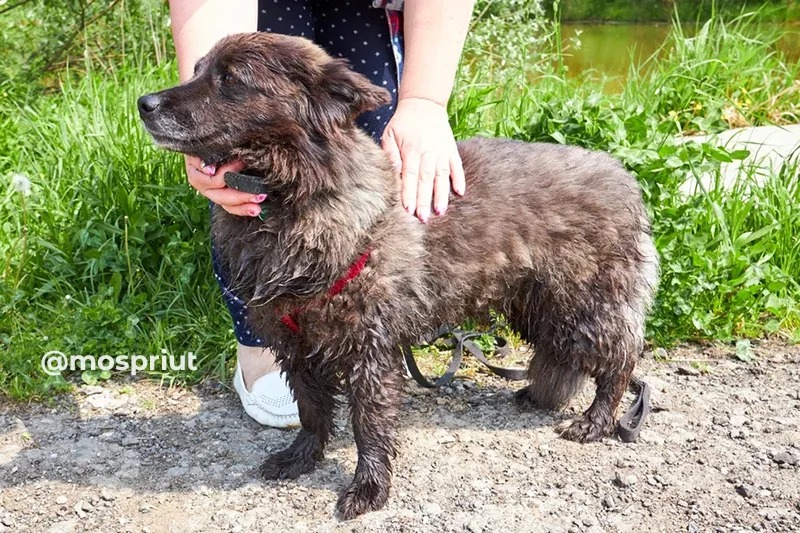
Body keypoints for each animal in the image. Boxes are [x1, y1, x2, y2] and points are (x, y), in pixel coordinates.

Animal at [141, 32, 660, 516]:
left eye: (231, 80)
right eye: (197, 69)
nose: (144, 104)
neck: (291, 200)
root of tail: (624, 179)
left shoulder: (369, 352)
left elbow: (368, 427)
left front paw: (369, 488)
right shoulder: (298, 347)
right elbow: (311, 411)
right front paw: (302, 457)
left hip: (583, 309)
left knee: (619, 364)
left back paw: (596, 421)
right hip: (536, 306)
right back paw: (536, 394)